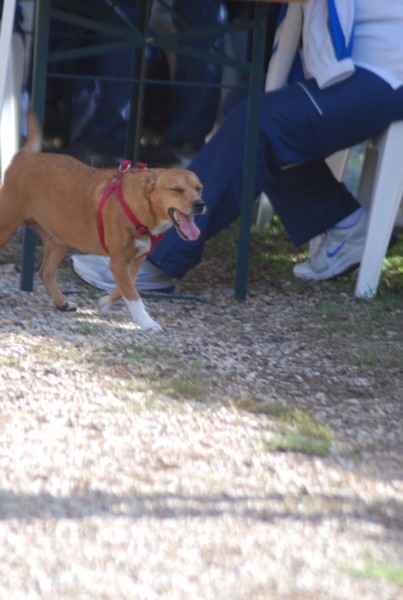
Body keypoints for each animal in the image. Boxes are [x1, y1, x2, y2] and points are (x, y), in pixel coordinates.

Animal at [0, 115, 205, 330]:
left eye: (199, 189)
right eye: (176, 189)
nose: (200, 205)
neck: (139, 208)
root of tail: (24, 156)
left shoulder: (134, 261)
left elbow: (127, 286)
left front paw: (105, 302)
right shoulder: (119, 262)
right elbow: (133, 295)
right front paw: (147, 322)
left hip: (58, 240)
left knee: (45, 272)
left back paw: (62, 303)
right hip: (6, 228)